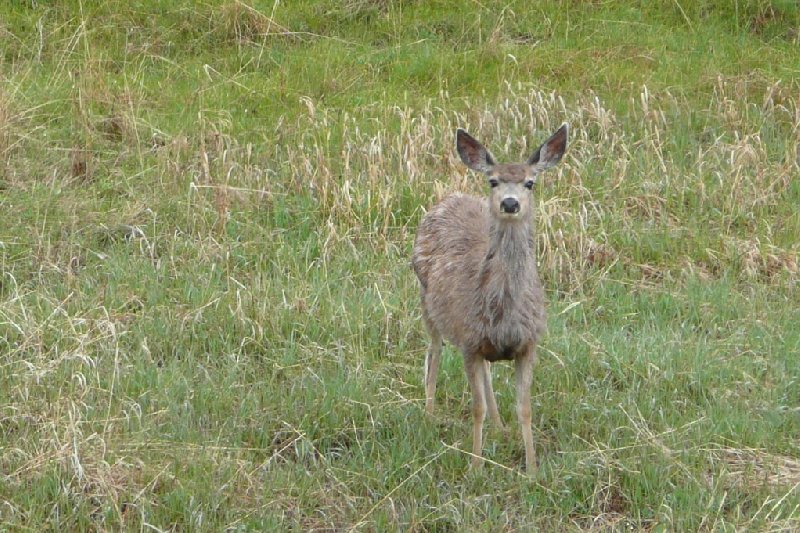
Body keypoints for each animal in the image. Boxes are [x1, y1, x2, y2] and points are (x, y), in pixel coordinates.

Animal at [412, 122, 568, 472]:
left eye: (530, 182)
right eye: (493, 180)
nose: (509, 203)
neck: (502, 311)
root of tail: (448, 199)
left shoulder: (528, 343)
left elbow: (525, 408)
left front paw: (532, 470)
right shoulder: (469, 341)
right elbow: (476, 408)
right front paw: (475, 466)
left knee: (486, 374)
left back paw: (499, 426)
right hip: (427, 300)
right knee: (433, 352)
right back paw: (428, 414)